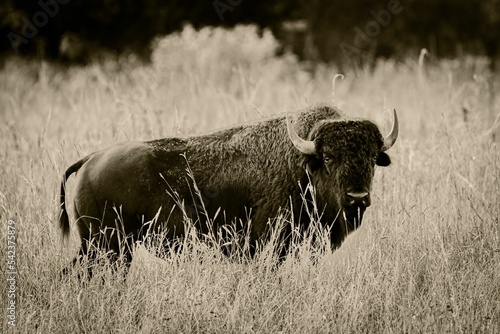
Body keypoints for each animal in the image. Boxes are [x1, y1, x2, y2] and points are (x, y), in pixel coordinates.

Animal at [59, 105, 398, 274]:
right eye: (328, 157)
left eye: (372, 158)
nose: (358, 198)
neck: (303, 164)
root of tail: (92, 159)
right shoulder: (269, 243)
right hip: (105, 245)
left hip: (109, 247)